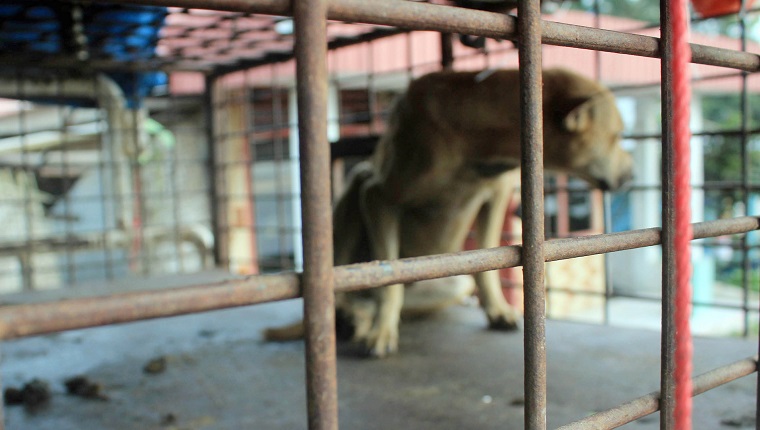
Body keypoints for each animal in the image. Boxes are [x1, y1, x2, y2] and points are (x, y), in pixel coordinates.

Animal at [264, 67, 632, 356]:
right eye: (616, 136)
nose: (633, 175)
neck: (477, 137)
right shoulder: (378, 196)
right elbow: (389, 277)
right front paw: (383, 329)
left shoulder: (497, 194)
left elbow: (487, 265)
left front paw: (497, 309)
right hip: (355, 189)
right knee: (351, 286)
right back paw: (351, 316)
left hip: (452, 286)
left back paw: (359, 317)